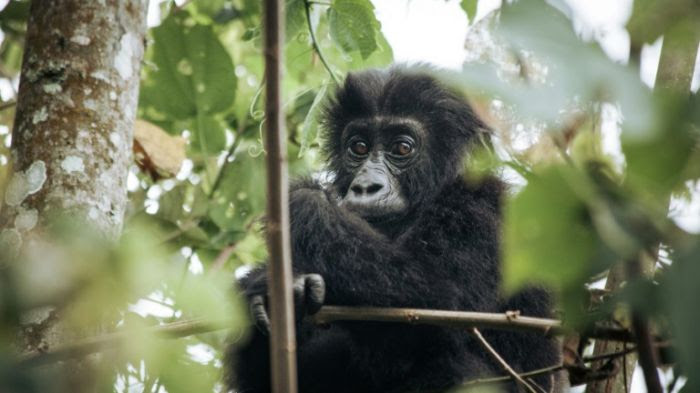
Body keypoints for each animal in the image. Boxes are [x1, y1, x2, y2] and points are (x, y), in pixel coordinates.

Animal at [227, 67, 560, 392]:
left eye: (401, 147)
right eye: (359, 146)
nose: (365, 186)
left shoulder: (482, 211)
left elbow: (435, 299)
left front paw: (300, 200)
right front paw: (270, 289)